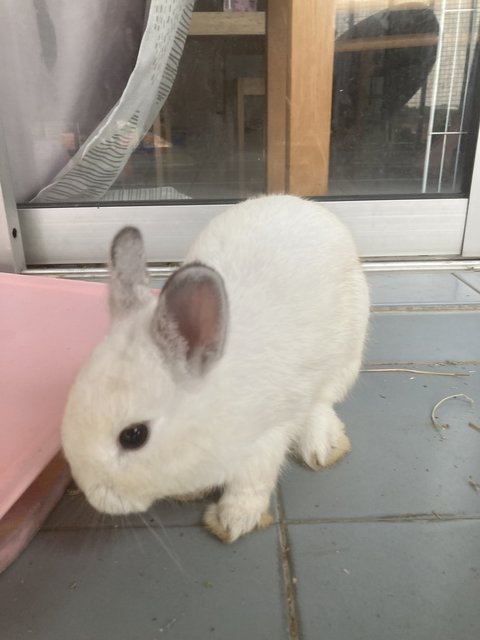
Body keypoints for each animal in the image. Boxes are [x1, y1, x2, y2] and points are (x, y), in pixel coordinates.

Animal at [62, 194, 370, 540]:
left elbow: (252, 483)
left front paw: (233, 520)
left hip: (346, 357)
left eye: (133, 436)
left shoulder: (267, 439)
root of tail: (309, 206)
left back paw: (322, 447)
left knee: (322, 402)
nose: (95, 496)